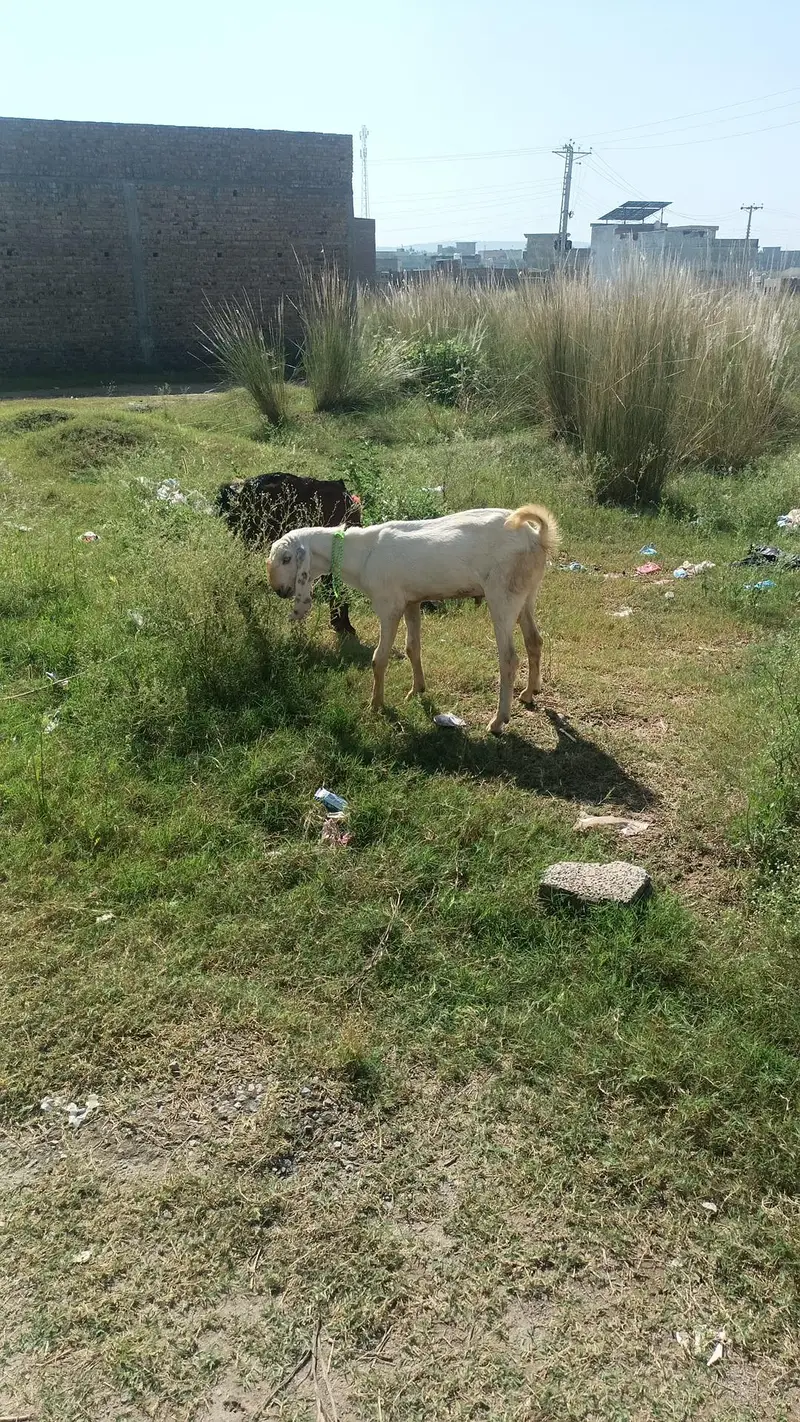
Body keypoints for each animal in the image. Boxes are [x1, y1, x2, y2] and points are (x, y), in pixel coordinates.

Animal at [267, 504, 558, 734]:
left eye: (287, 558)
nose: (279, 590)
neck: (360, 554)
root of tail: (537, 536)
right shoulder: (411, 602)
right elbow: (412, 648)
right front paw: (417, 689)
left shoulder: (389, 606)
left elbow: (379, 659)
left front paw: (376, 706)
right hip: (527, 594)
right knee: (535, 641)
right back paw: (529, 694)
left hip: (503, 596)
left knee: (509, 659)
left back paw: (498, 721)